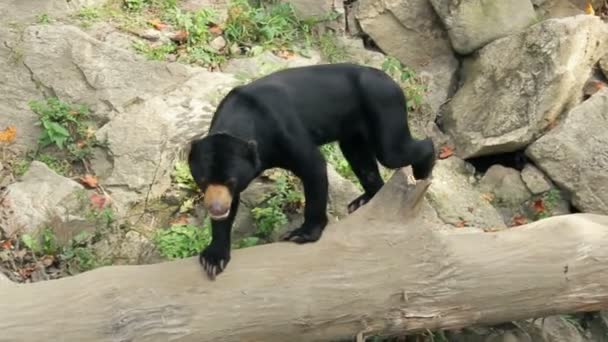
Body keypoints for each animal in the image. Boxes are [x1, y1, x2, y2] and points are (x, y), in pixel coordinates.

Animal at [188, 62, 434, 280]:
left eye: (231, 180)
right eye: (203, 180)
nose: (216, 208)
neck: (242, 120)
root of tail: (391, 79)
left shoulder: (283, 129)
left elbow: (314, 167)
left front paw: (302, 233)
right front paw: (213, 259)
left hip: (383, 106)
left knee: (394, 150)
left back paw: (423, 171)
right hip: (352, 130)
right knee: (361, 160)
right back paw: (365, 200)